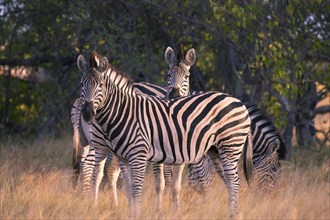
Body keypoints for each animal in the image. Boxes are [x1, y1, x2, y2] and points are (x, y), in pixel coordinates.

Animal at [77, 51, 253, 218]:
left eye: (100, 85)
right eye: (82, 84)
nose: (87, 113)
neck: (122, 112)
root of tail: (239, 102)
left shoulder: (139, 155)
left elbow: (137, 188)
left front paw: (139, 215)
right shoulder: (123, 157)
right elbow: (129, 187)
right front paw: (131, 214)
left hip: (230, 146)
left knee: (233, 180)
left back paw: (233, 214)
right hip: (216, 151)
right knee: (228, 181)